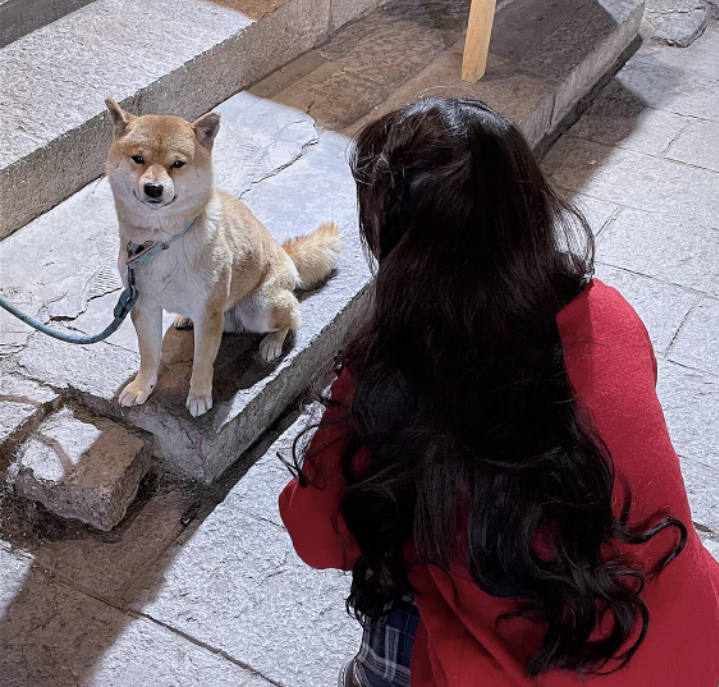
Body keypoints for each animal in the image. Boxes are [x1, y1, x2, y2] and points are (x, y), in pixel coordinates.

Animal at [104, 99, 344, 416]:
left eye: (177, 164)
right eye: (138, 158)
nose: (154, 188)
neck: (162, 242)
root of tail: (285, 256)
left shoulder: (209, 314)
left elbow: (202, 363)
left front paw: (199, 397)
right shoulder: (144, 305)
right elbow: (149, 355)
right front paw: (142, 387)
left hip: (261, 307)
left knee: (292, 317)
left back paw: (272, 343)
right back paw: (185, 318)